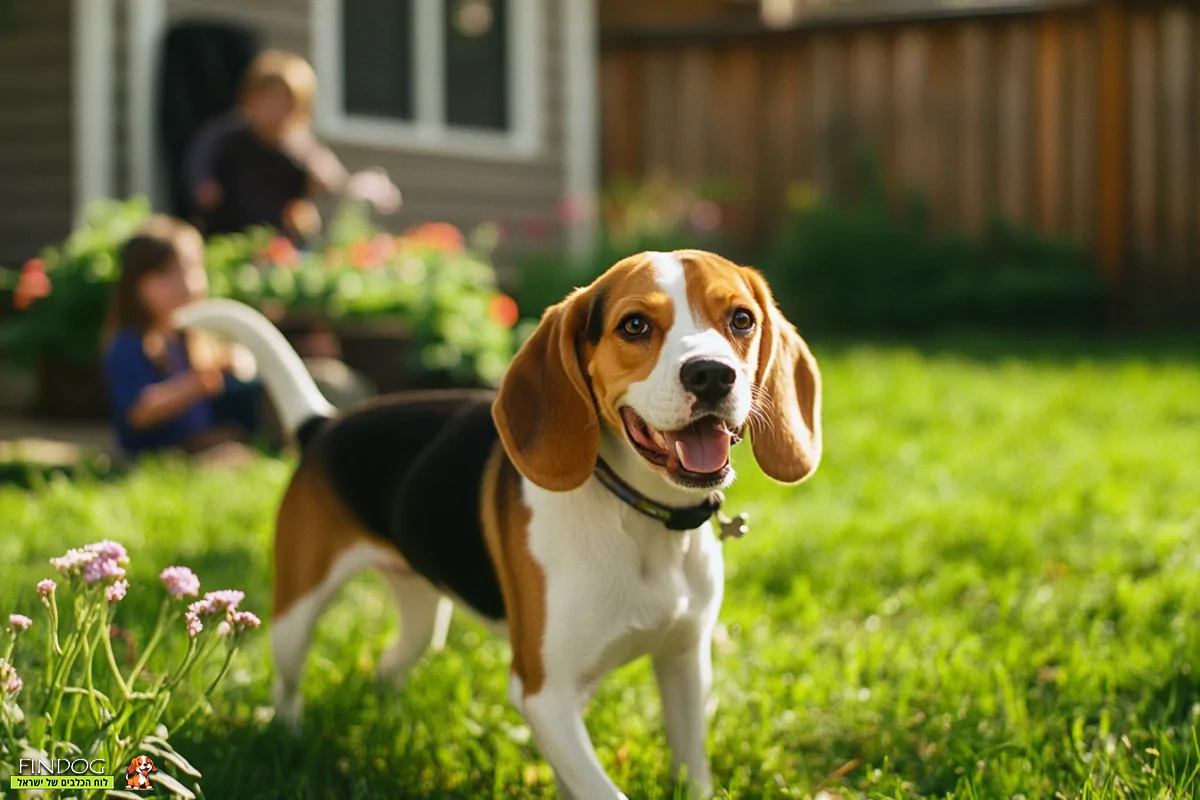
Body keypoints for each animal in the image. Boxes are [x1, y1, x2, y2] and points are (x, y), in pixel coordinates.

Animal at [177, 250, 820, 800]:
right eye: (635, 326)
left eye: (741, 319)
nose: (711, 375)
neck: (641, 518)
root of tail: (326, 424)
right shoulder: (544, 694)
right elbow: (602, 788)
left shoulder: (684, 664)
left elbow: (690, 771)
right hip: (295, 616)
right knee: (286, 684)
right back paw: (288, 736)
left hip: (421, 617)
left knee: (386, 667)